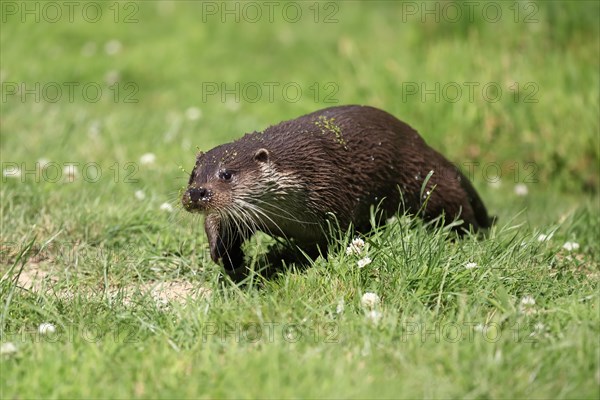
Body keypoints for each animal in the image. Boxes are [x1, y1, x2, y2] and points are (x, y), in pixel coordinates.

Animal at [180, 104, 490, 278]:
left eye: (227, 174)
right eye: (193, 175)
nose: (197, 193)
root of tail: (423, 144)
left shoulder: (331, 189)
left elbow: (338, 236)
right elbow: (220, 224)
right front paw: (227, 255)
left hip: (423, 179)